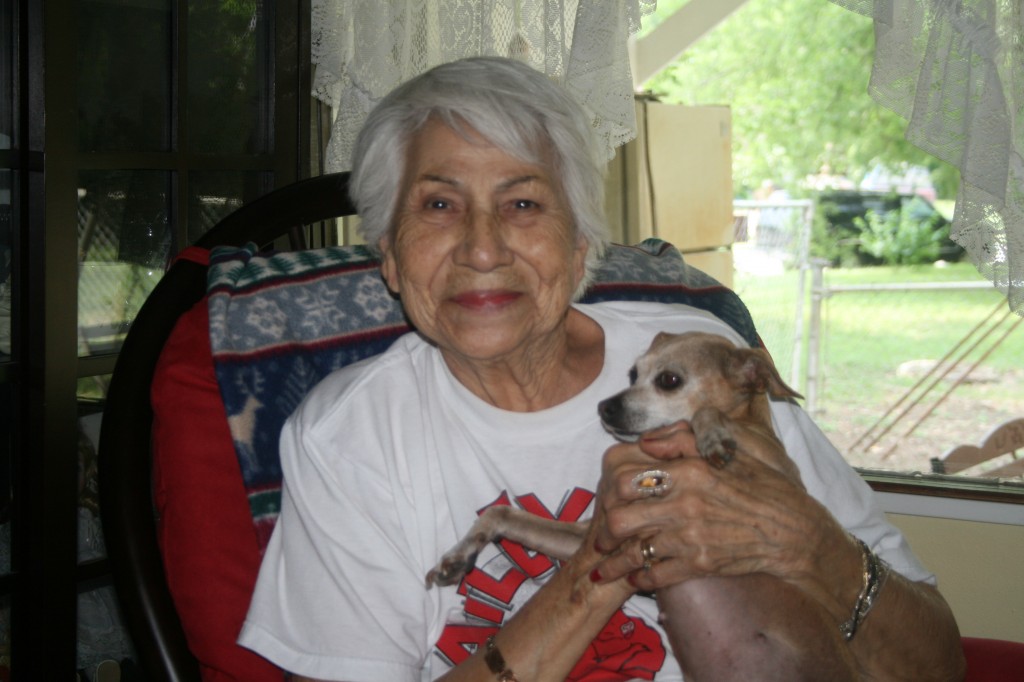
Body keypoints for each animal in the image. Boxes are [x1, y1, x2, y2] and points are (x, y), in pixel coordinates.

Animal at [430, 329, 856, 675]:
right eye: (633, 374)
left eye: (669, 380)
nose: (604, 407)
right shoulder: (589, 538)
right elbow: (501, 513)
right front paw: (458, 555)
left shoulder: (783, 482)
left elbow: (704, 412)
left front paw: (712, 433)